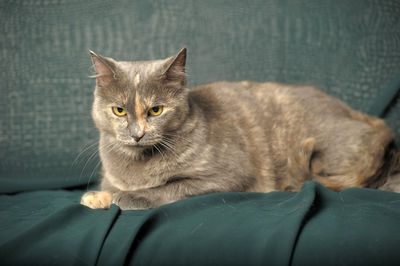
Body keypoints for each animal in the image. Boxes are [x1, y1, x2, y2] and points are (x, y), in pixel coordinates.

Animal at [80, 47, 400, 210]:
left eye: (155, 110)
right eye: (119, 110)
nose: (137, 134)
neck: (136, 166)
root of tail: (375, 122)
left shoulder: (228, 176)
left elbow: (173, 187)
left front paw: (132, 197)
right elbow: (108, 186)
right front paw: (97, 197)